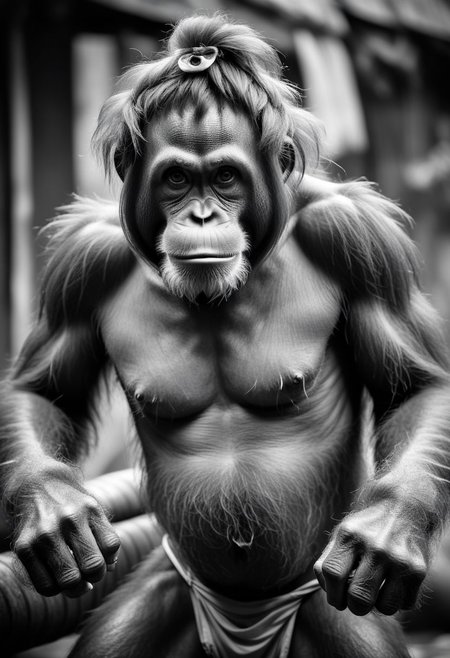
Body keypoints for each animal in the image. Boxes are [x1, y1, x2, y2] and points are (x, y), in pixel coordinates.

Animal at [1, 14, 450, 658]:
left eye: (225, 177)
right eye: (177, 179)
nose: (202, 215)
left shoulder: (358, 240)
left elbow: (414, 385)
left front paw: (387, 529)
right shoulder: (83, 262)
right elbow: (45, 391)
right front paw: (53, 511)